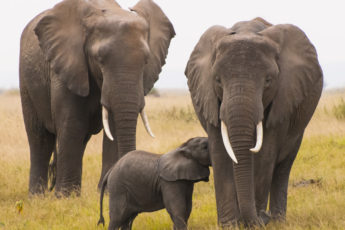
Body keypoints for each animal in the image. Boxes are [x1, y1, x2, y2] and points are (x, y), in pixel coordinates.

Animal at [18, 0, 175, 196]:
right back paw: (37, 197)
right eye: (99, 59)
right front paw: (66, 197)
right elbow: (73, 124)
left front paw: (106, 192)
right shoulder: (68, 66)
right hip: (26, 80)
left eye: (146, 60)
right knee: (39, 137)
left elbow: (113, 128)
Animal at [185, 17, 322, 226]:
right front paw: (230, 225)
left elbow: (265, 155)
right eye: (217, 80)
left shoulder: (282, 99)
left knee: (283, 167)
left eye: (268, 81)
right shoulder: (210, 98)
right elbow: (220, 152)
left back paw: (279, 221)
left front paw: (253, 224)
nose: (263, 216)